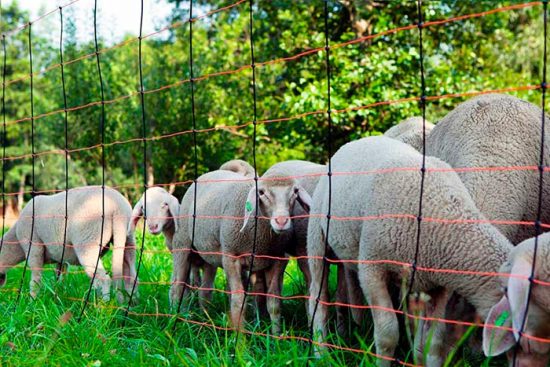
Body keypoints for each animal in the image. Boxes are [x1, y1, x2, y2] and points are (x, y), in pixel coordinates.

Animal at [0, 185, 137, 304]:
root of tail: (117, 207)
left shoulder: (33, 247)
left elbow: (35, 279)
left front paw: (31, 302)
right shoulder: (61, 258)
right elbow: (59, 277)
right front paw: (57, 296)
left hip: (88, 242)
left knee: (104, 278)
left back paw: (103, 306)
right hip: (128, 239)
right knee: (131, 276)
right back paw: (131, 305)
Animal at [308, 137, 516, 366]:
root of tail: (353, 143)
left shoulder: (438, 286)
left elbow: (432, 343)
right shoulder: (372, 267)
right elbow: (388, 334)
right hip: (316, 238)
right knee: (317, 297)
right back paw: (320, 353)